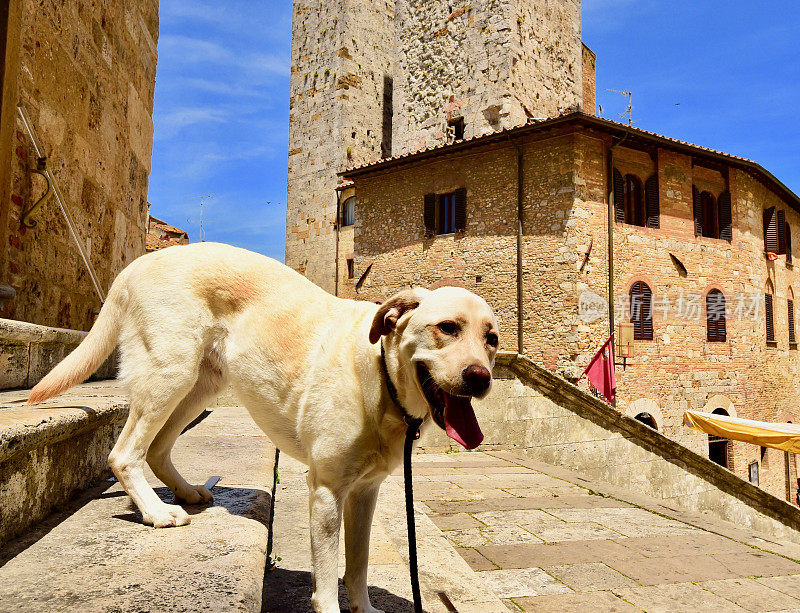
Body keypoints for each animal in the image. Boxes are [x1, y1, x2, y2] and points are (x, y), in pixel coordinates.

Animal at [28, 241, 496, 608]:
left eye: (491, 338)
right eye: (447, 328)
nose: (481, 378)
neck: (381, 378)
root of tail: (137, 264)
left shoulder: (365, 492)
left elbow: (359, 566)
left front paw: (364, 607)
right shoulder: (327, 490)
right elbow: (328, 581)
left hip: (201, 384)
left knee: (157, 449)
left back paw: (186, 492)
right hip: (170, 373)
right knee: (123, 454)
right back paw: (158, 512)